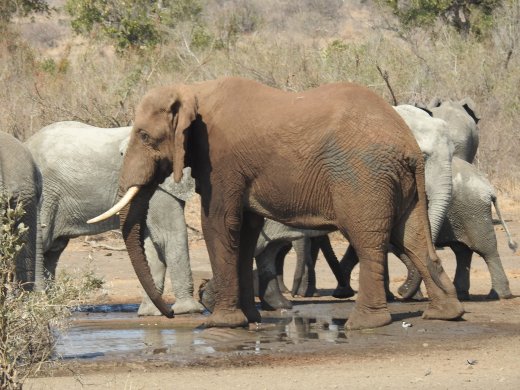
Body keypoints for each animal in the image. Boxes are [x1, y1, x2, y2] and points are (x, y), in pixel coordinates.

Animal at [25, 123, 203, 316]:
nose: (167, 312)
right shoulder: (159, 186)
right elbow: (168, 236)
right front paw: (189, 310)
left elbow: (153, 242)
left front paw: (150, 313)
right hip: (45, 196)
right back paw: (37, 304)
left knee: (53, 250)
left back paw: (50, 306)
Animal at [89, 76, 464, 330]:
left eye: (144, 136)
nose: (167, 313)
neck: (194, 89)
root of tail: (409, 145)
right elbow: (245, 230)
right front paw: (248, 319)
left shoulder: (221, 160)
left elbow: (219, 222)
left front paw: (220, 324)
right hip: (398, 181)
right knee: (411, 236)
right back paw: (445, 313)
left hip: (362, 175)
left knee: (368, 238)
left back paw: (364, 323)